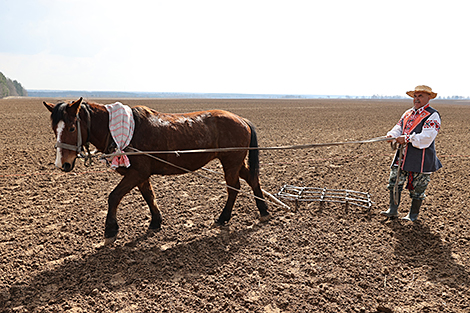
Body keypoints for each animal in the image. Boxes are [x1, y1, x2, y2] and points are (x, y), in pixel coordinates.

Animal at [44, 97, 272, 244]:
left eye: (72, 127)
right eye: (55, 129)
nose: (62, 164)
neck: (122, 131)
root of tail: (242, 119)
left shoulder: (137, 173)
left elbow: (114, 196)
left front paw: (110, 229)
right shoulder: (141, 175)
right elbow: (149, 196)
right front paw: (156, 221)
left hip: (230, 162)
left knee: (233, 187)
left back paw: (224, 217)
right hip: (236, 162)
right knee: (252, 179)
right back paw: (263, 211)